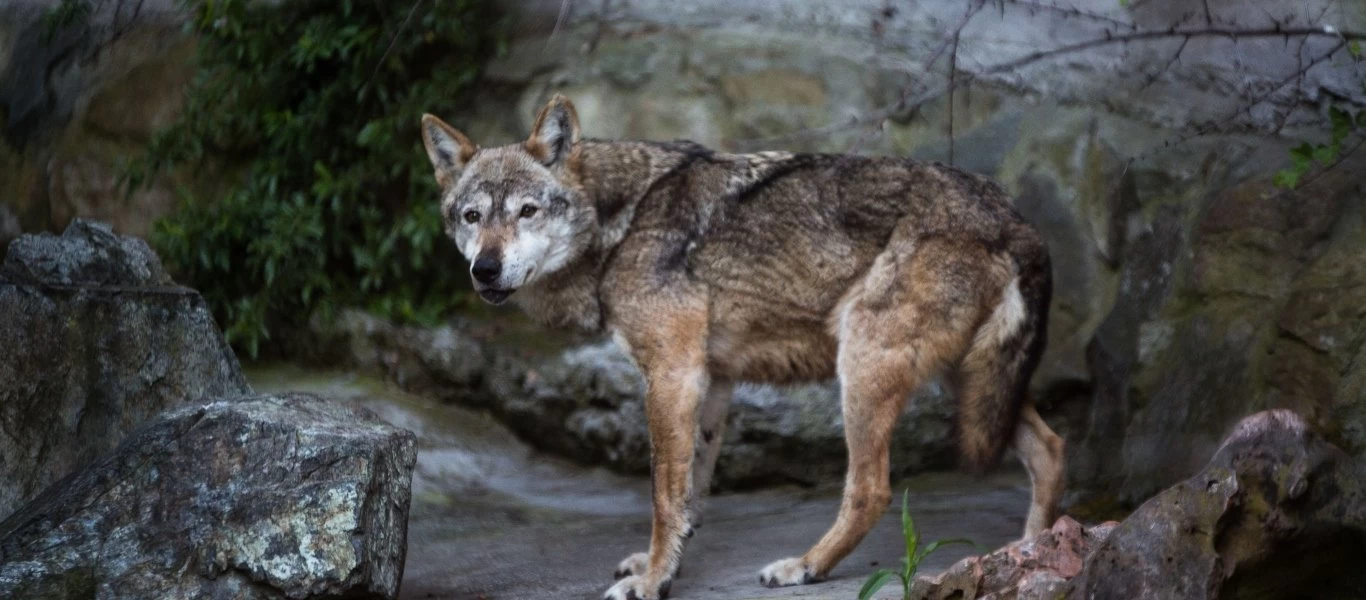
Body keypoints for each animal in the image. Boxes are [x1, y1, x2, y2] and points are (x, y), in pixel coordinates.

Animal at [417, 94, 1065, 600]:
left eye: (527, 211)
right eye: (472, 217)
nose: (485, 269)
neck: (619, 223)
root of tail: (1011, 214)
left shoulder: (672, 372)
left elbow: (662, 493)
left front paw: (652, 582)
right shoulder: (711, 380)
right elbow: (690, 493)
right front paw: (664, 564)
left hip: (864, 367)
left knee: (871, 490)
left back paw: (804, 567)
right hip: (970, 382)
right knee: (1050, 448)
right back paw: (1029, 556)